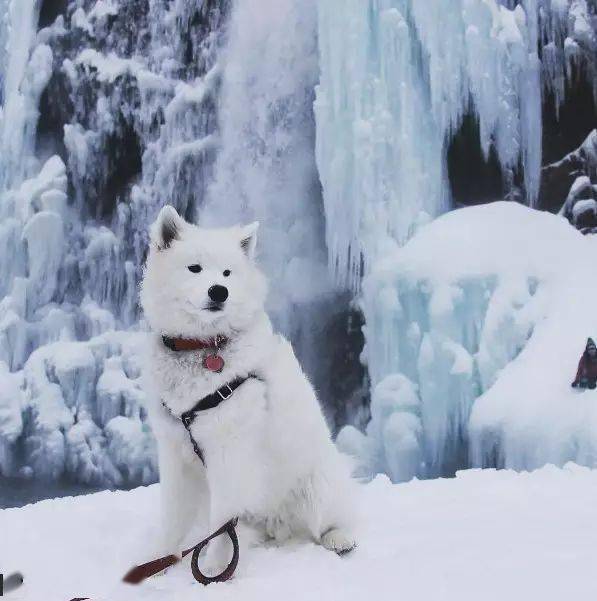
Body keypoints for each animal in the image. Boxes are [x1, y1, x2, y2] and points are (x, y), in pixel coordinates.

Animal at [140, 207, 354, 576]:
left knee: (333, 518)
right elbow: (173, 518)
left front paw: (214, 570)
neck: (202, 347)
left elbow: (221, 526)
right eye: (195, 268)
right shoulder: (175, 451)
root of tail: (276, 524)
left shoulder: (229, 450)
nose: (219, 291)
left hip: (319, 483)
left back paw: (339, 538)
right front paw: (159, 561)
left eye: (228, 272)